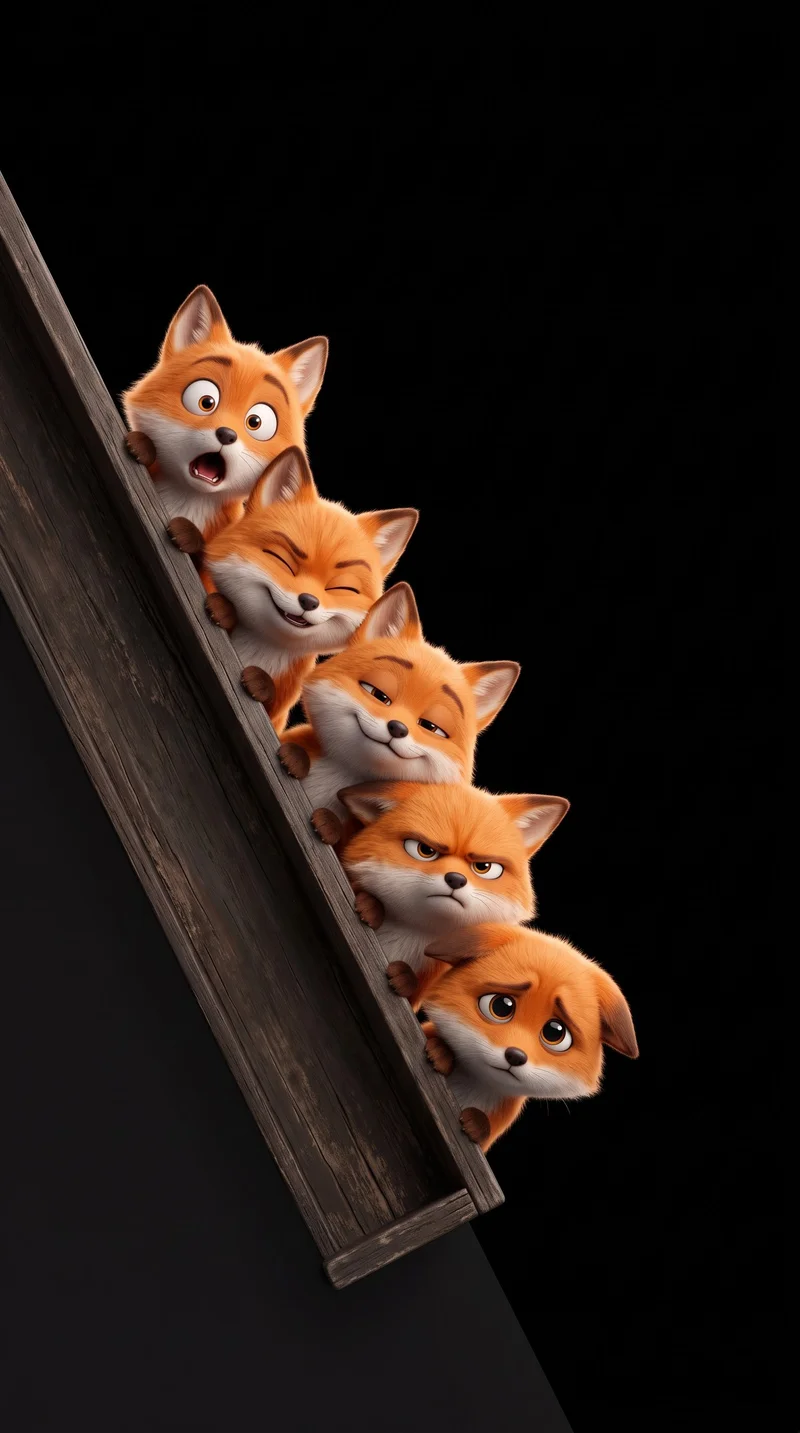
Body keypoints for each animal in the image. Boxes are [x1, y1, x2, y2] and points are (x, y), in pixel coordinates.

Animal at [121, 285, 328, 580]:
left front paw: (189, 536)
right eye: (206, 401)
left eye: (256, 422)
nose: (226, 435)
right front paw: (143, 445)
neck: (186, 500)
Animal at [200, 446, 418, 732]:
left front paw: (260, 683)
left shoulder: (278, 711)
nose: (308, 601)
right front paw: (223, 609)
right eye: (282, 560)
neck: (256, 650)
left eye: (342, 587)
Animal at [276, 582, 520, 849]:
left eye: (431, 727)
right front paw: (295, 757)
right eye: (378, 694)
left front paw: (329, 825)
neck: (335, 779)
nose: (397, 728)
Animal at [338, 781, 569, 1006]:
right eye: (424, 850)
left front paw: (405, 979)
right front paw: (372, 907)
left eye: (484, 867)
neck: (407, 936)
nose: (456, 879)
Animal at [417, 922, 639, 1151]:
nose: (515, 1056)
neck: (471, 1082)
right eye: (501, 1006)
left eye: (555, 1032)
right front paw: (441, 1052)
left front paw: (476, 1124)